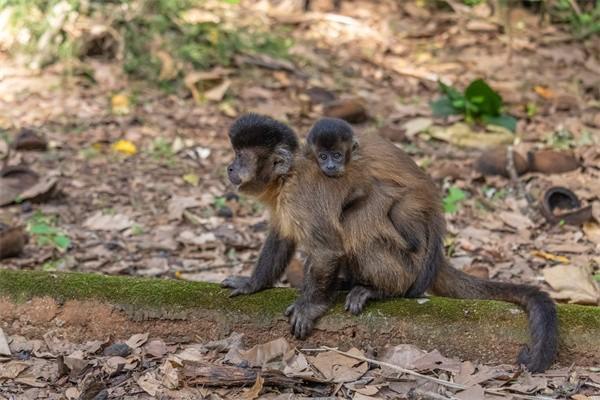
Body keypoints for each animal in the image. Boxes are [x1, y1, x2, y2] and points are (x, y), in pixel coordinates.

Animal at [221, 111, 556, 372]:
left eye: (240, 156)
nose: (230, 167)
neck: (287, 177)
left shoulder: (298, 196)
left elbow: (327, 248)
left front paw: (311, 306)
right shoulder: (284, 202)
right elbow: (281, 238)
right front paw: (252, 284)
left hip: (410, 263)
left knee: (358, 218)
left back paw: (380, 290)